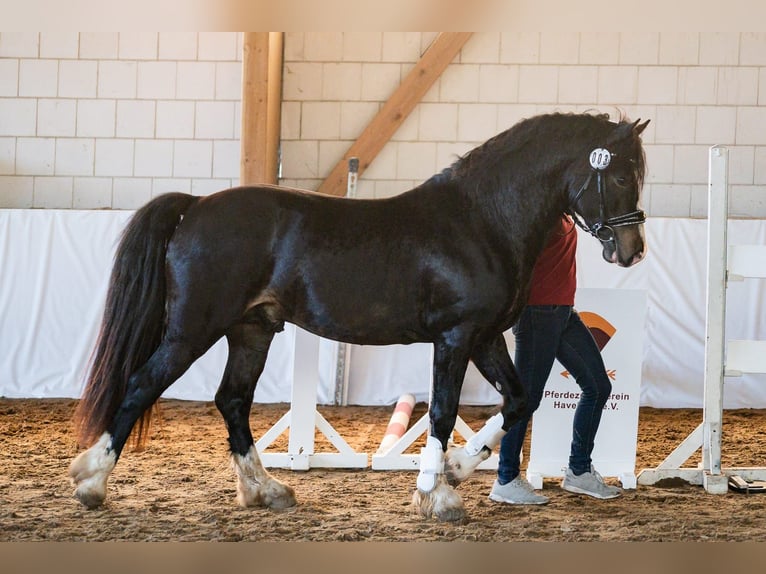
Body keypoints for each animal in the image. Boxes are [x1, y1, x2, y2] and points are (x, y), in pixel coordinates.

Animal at [69, 111, 652, 520]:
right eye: (622, 177)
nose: (632, 251)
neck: (481, 221)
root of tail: (194, 206)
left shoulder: (486, 338)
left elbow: (518, 400)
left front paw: (456, 470)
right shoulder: (456, 337)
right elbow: (442, 412)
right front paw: (436, 495)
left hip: (252, 330)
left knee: (231, 400)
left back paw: (266, 490)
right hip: (193, 329)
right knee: (142, 384)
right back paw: (92, 482)